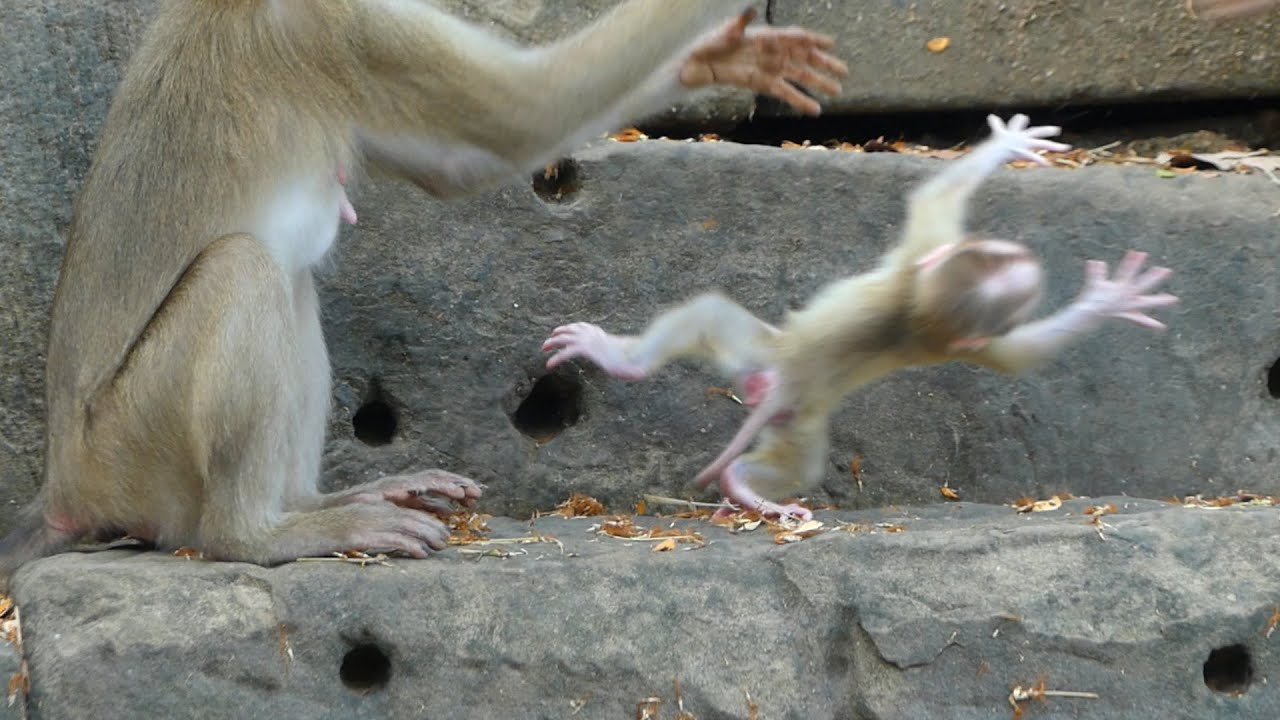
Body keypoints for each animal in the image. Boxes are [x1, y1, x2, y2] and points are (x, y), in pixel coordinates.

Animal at [0, 0, 849, 589]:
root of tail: (67, 484)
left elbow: (461, 163)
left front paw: (720, 60)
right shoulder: (339, 24)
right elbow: (521, 115)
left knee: (287, 279)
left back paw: (319, 502)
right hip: (131, 444)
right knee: (247, 269)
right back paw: (255, 534)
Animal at [542, 114, 1179, 520]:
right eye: (1000, 253)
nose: (1032, 260)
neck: (923, 305)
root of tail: (785, 383)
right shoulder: (937, 265)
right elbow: (935, 204)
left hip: (780, 386)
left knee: (716, 326)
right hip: (785, 387)